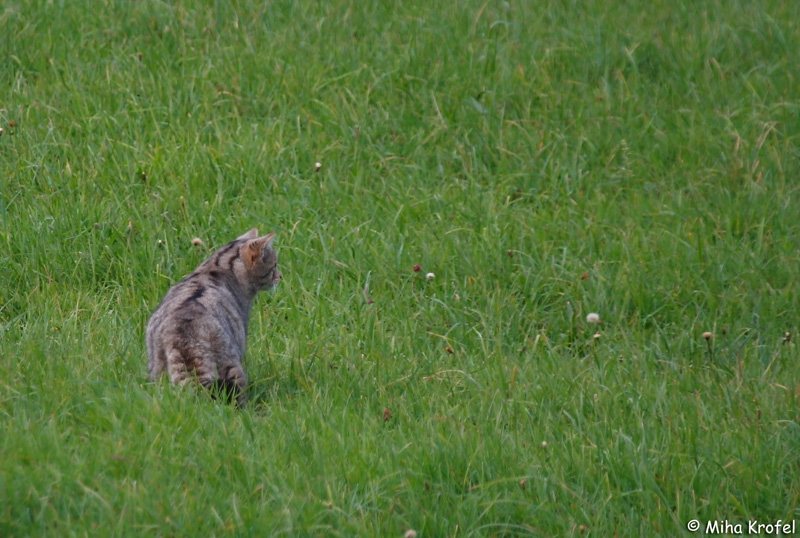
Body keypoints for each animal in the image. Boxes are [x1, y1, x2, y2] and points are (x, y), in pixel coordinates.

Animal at [146, 226, 282, 402]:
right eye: (274, 265)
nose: (280, 276)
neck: (217, 266)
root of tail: (181, 335)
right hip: (229, 363)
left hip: (157, 370)